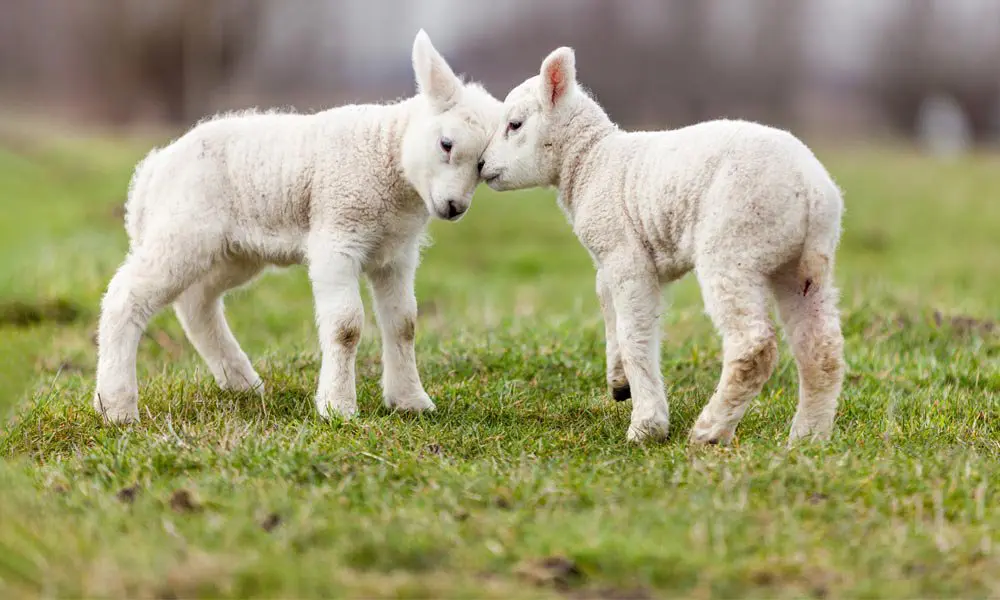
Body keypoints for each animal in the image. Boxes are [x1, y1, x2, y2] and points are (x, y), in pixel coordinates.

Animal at [92, 30, 500, 424]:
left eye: (482, 166)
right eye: (446, 144)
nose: (454, 207)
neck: (387, 153)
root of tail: (153, 170)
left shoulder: (396, 254)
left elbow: (404, 324)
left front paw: (410, 402)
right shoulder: (338, 236)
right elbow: (346, 326)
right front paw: (338, 407)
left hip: (233, 251)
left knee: (197, 303)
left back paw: (242, 382)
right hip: (183, 229)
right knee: (126, 297)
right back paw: (116, 407)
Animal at [476, 47, 844, 442]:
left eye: (514, 124)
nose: (480, 164)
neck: (591, 161)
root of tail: (812, 189)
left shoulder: (625, 255)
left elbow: (634, 334)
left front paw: (647, 425)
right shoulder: (617, 258)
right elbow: (607, 305)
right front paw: (619, 382)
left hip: (735, 246)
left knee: (753, 346)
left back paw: (709, 432)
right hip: (798, 266)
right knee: (822, 349)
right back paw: (807, 438)